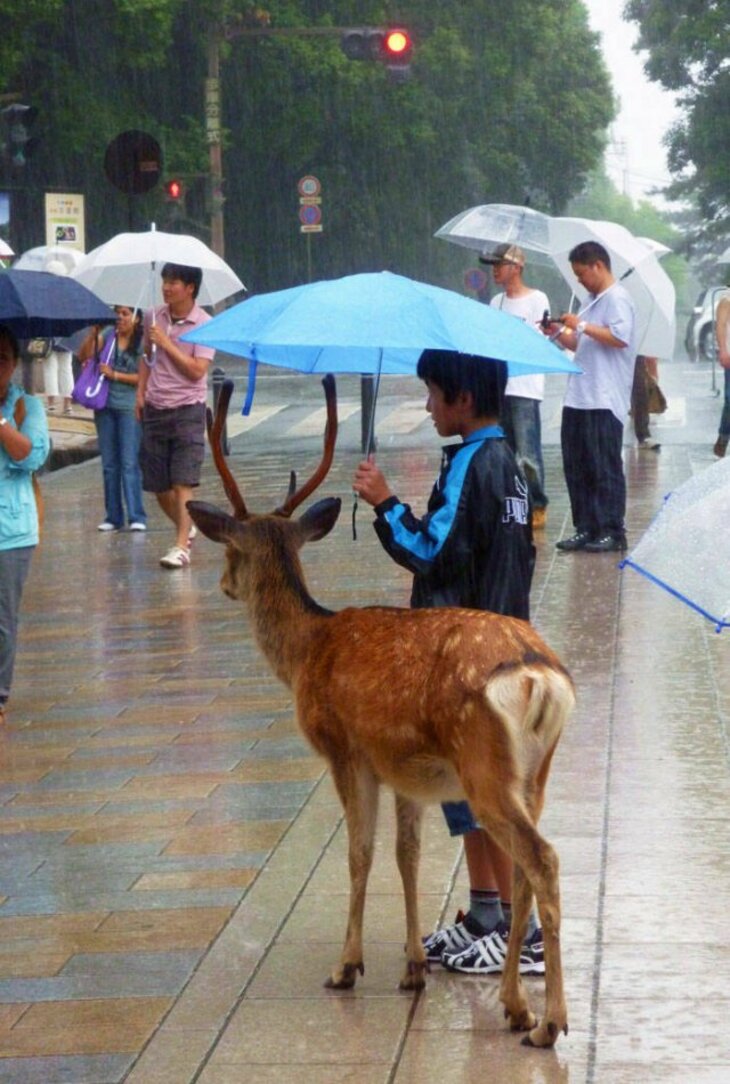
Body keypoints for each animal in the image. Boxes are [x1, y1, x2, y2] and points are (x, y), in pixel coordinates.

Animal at [187, 377, 577, 1044]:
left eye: (230, 553)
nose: (224, 585)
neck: (307, 651)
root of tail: (539, 674)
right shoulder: (406, 770)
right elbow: (407, 855)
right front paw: (413, 967)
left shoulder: (346, 749)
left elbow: (360, 853)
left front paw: (347, 966)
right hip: (535, 772)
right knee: (525, 867)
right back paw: (513, 1005)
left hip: (485, 767)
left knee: (543, 860)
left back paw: (547, 1021)